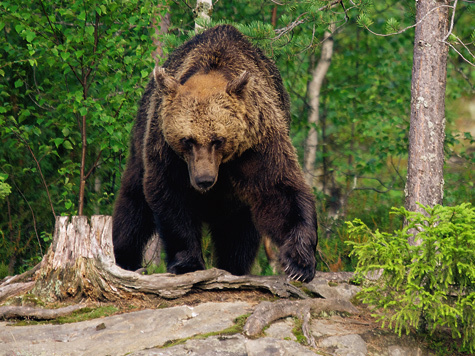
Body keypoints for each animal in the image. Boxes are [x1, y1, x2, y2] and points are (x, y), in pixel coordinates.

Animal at [113, 24, 318, 280]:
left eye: (218, 140)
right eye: (188, 140)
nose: (204, 180)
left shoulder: (255, 144)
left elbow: (280, 189)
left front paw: (299, 262)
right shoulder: (167, 152)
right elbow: (171, 197)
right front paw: (187, 262)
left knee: (239, 232)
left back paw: (234, 266)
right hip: (141, 135)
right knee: (133, 204)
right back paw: (126, 258)